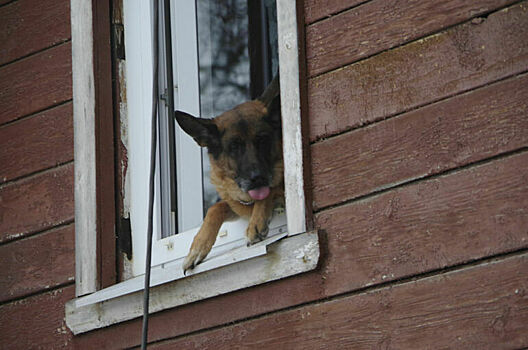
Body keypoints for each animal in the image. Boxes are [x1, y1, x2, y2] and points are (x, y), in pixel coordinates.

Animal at [174, 76, 282, 274]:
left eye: (262, 140)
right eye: (234, 146)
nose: (258, 178)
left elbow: (270, 190)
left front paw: (255, 223)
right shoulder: (237, 203)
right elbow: (215, 208)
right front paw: (197, 248)